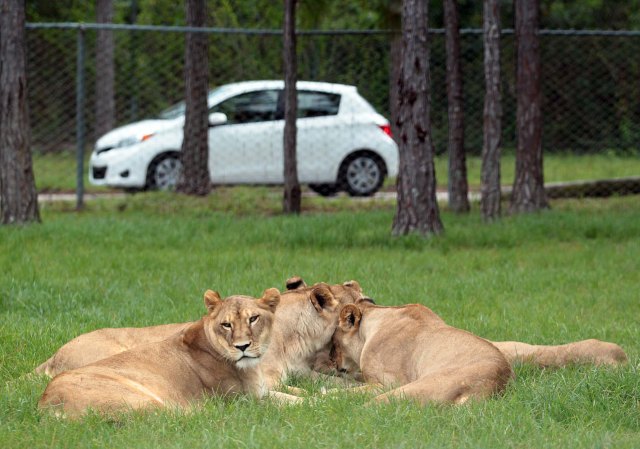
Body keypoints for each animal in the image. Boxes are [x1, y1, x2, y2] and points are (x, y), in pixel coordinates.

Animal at [39, 288, 292, 418]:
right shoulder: (247, 399)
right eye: (226, 325)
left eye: (253, 318)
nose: (242, 347)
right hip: (144, 400)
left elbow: (293, 393)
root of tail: (46, 403)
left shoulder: (262, 391)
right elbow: (293, 403)